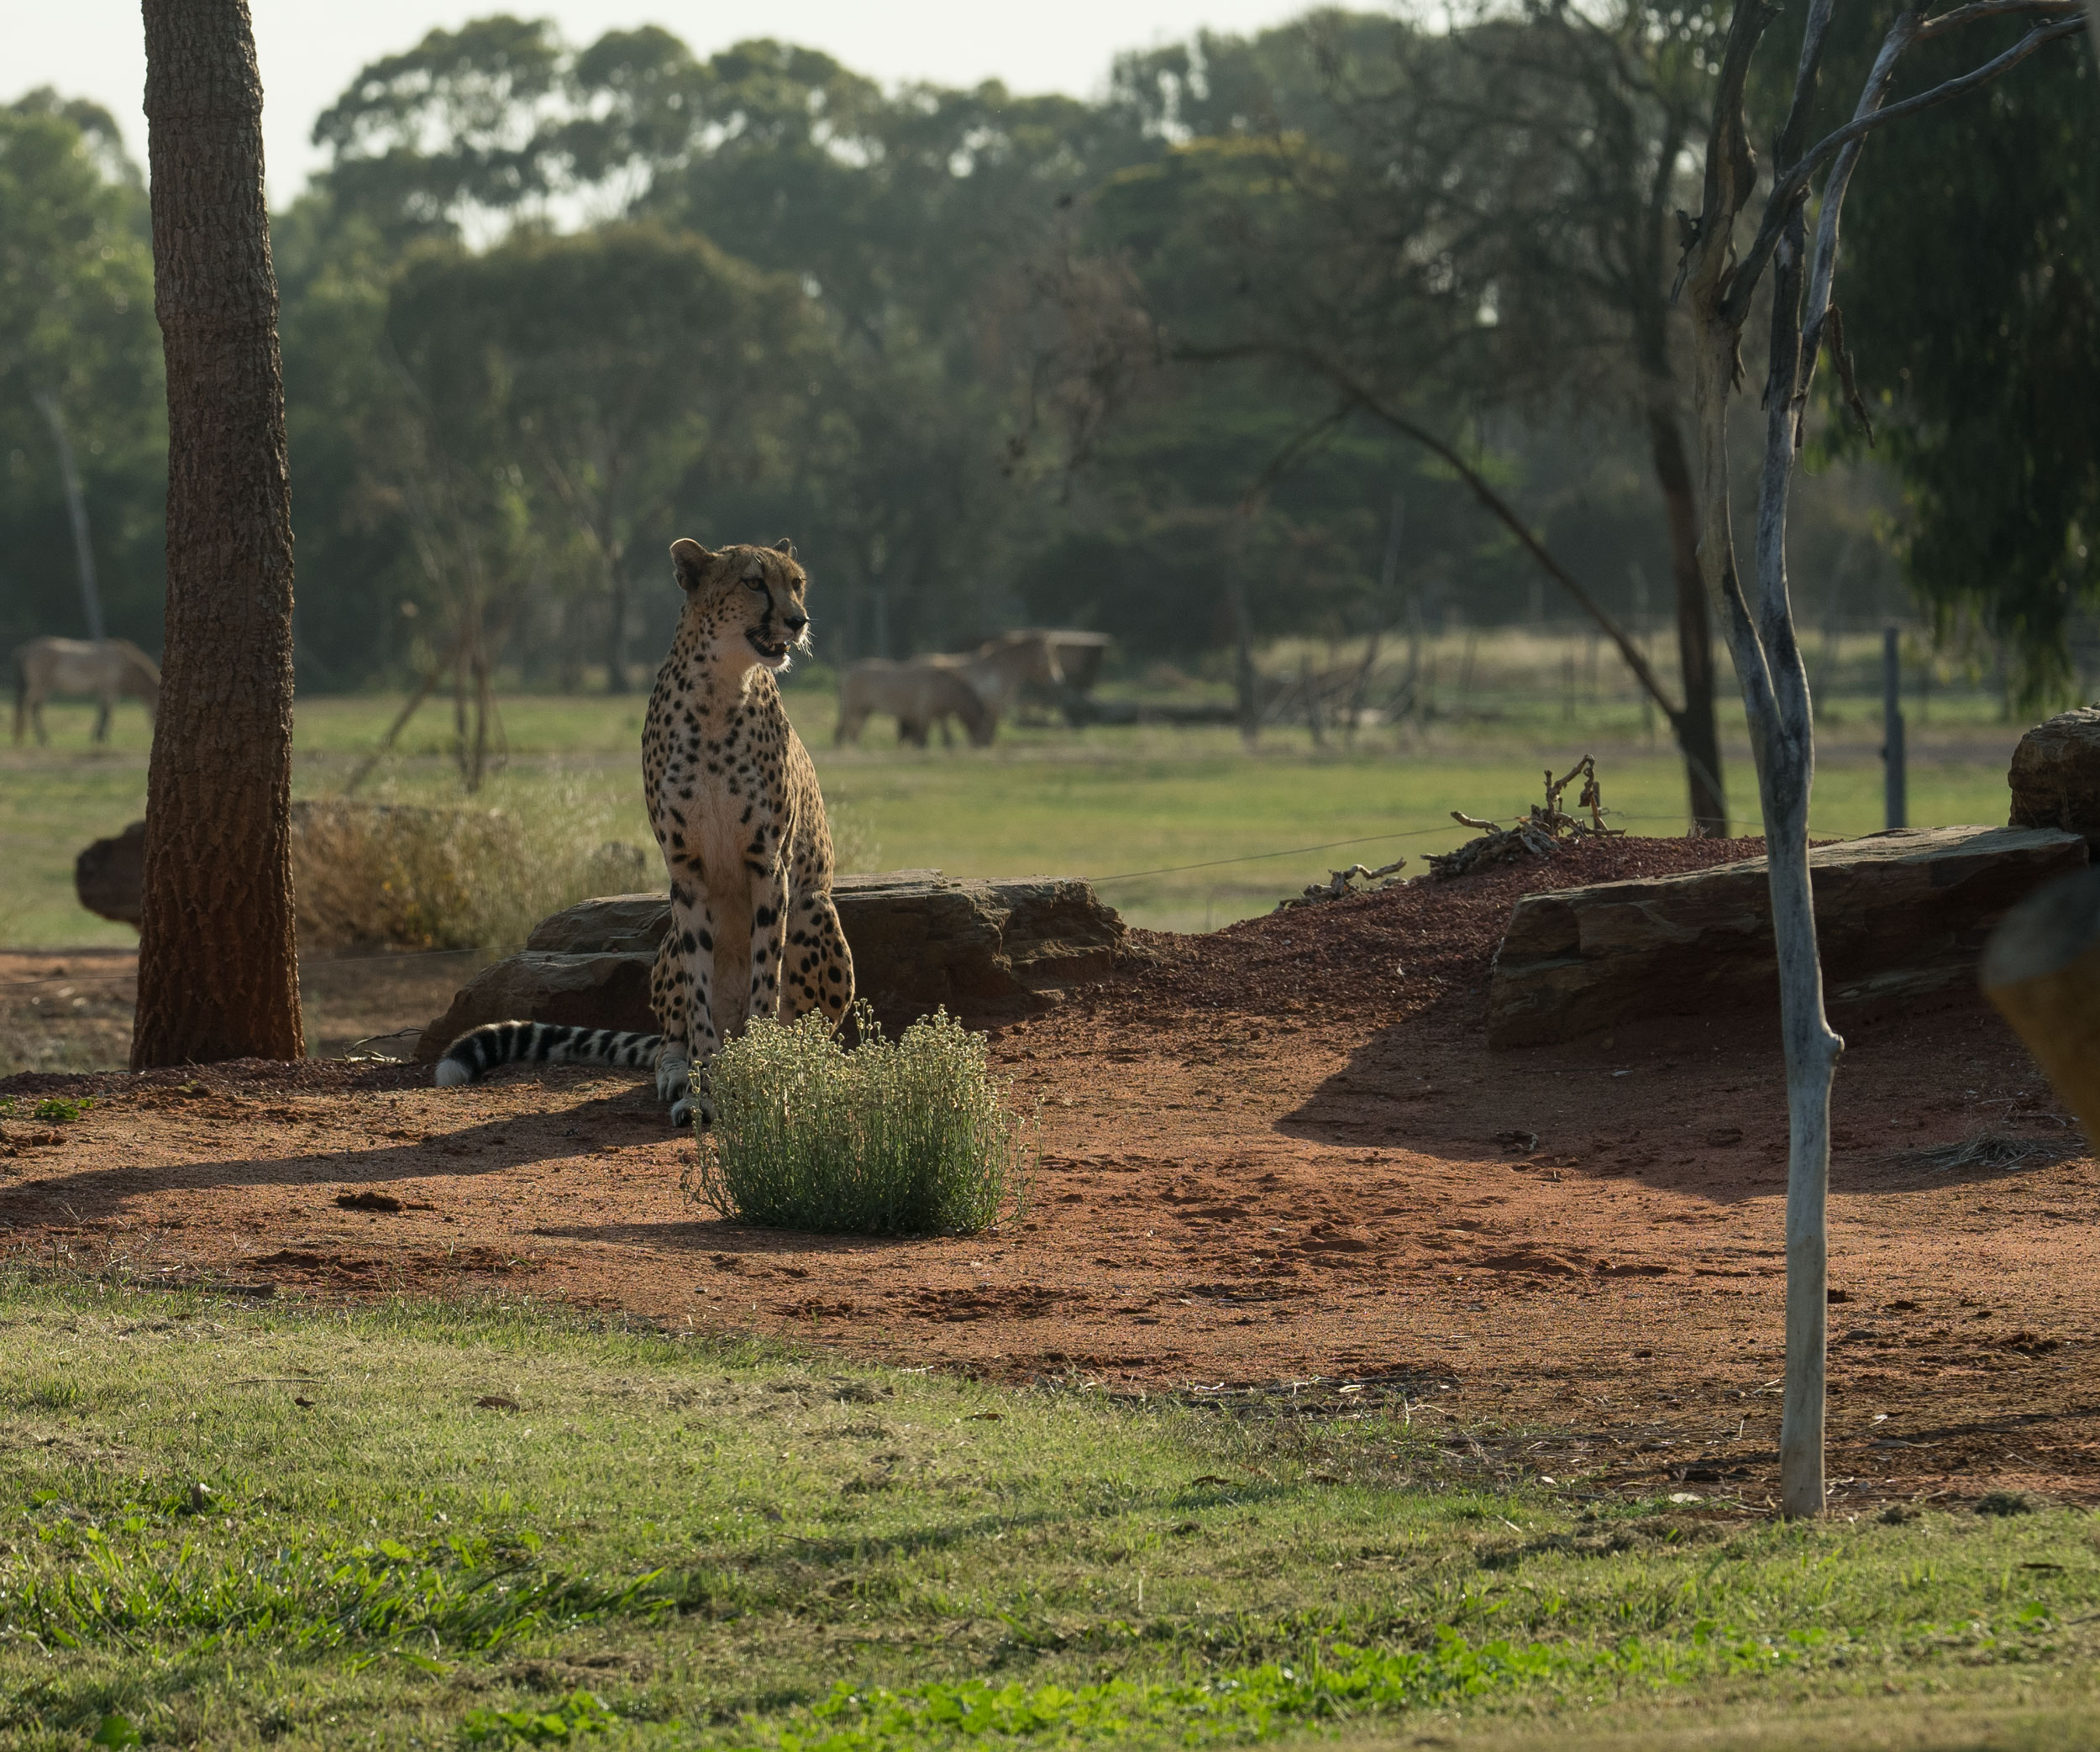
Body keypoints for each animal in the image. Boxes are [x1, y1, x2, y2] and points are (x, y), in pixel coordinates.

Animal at [434, 538, 853, 1125]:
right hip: (669, 935)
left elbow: (765, 983)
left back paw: (807, 1066)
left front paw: (767, 1081)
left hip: (814, 908)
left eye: (797, 582)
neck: (721, 690)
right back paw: (679, 1071)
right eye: (753, 582)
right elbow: (698, 998)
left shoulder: (769, 863)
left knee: (815, 1027)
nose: (798, 620)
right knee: (666, 1039)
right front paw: (703, 1086)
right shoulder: (686, 870)